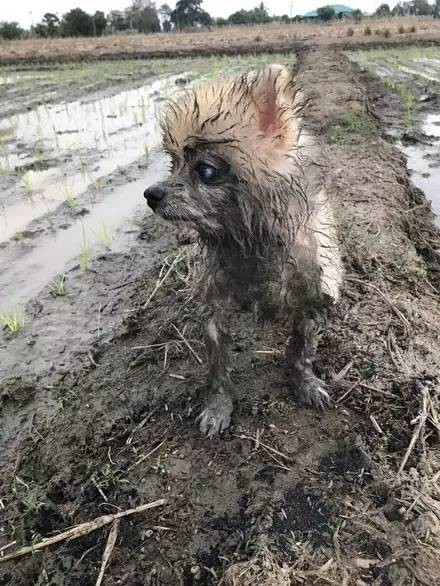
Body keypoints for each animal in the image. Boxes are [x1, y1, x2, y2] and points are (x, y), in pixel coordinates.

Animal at [144, 66, 344, 436]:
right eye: (173, 163)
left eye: (206, 171)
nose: (151, 194)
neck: (250, 242)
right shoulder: (213, 307)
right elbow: (218, 368)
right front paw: (219, 407)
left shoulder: (315, 297)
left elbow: (301, 351)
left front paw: (306, 383)